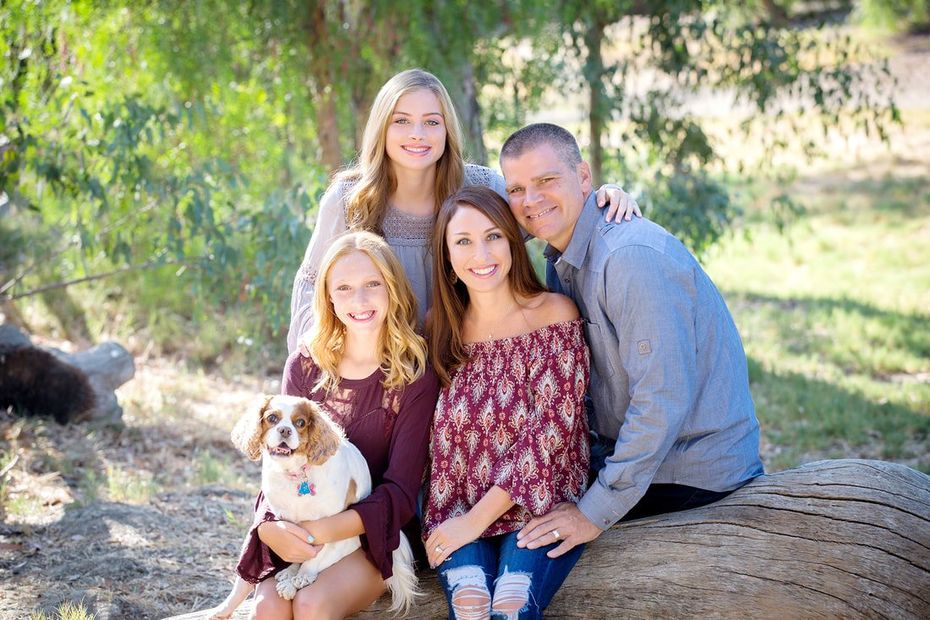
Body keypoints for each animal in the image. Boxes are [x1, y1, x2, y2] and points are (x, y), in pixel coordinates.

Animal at [210, 394, 416, 616]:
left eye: (300, 423)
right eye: (272, 418)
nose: (285, 430)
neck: (295, 472)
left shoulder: (332, 524)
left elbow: (318, 552)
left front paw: (303, 574)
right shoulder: (286, 523)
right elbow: (294, 550)